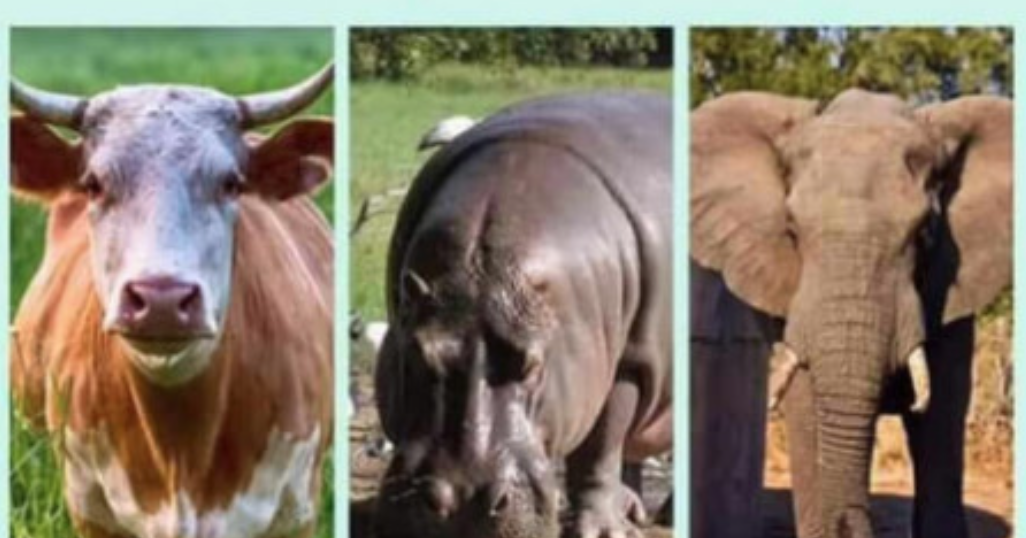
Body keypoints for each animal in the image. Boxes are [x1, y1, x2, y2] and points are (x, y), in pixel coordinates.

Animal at [10, 64, 335, 538]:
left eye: (231, 184)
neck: (181, 456)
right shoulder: (88, 509)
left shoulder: (297, 512)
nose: (161, 298)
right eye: (93, 184)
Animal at [373, 92, 673, 538]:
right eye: (415, 355)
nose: (459, 502)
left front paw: (599, 530)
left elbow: (601, 447)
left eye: (531, 365)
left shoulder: (631, 361)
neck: (484, 270)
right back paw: (635, 510)